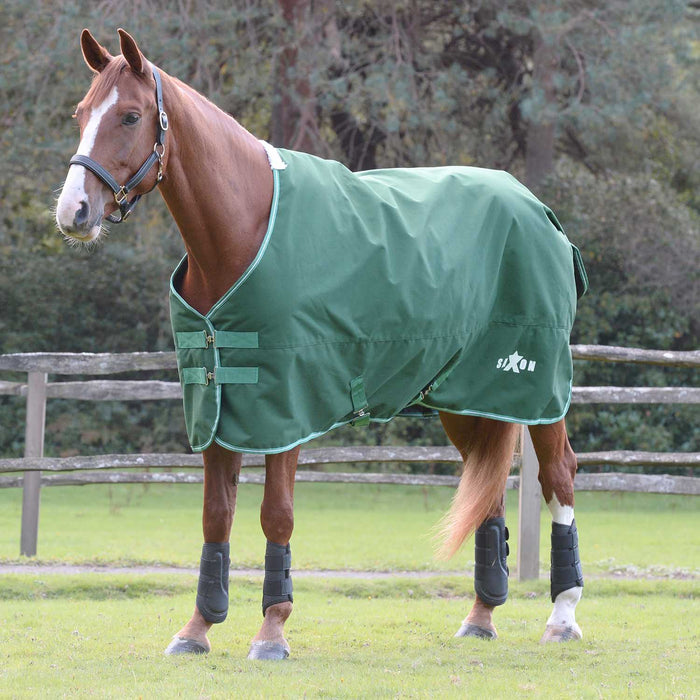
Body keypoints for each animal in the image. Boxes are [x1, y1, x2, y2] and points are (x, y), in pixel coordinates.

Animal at [55, 29, 586, 659]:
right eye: (81, 114)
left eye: (131, 116)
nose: (73, 212)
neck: (243, 227)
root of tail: (540, 211)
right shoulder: (217, 403)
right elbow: (216, 517)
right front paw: (197, 628)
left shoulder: (286, 407)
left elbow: (276, 515)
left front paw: (272, 631)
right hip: (466, 398)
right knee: (492, 492)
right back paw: (480, 617)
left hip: (534, 389)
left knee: (559, 476)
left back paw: (562, 615)